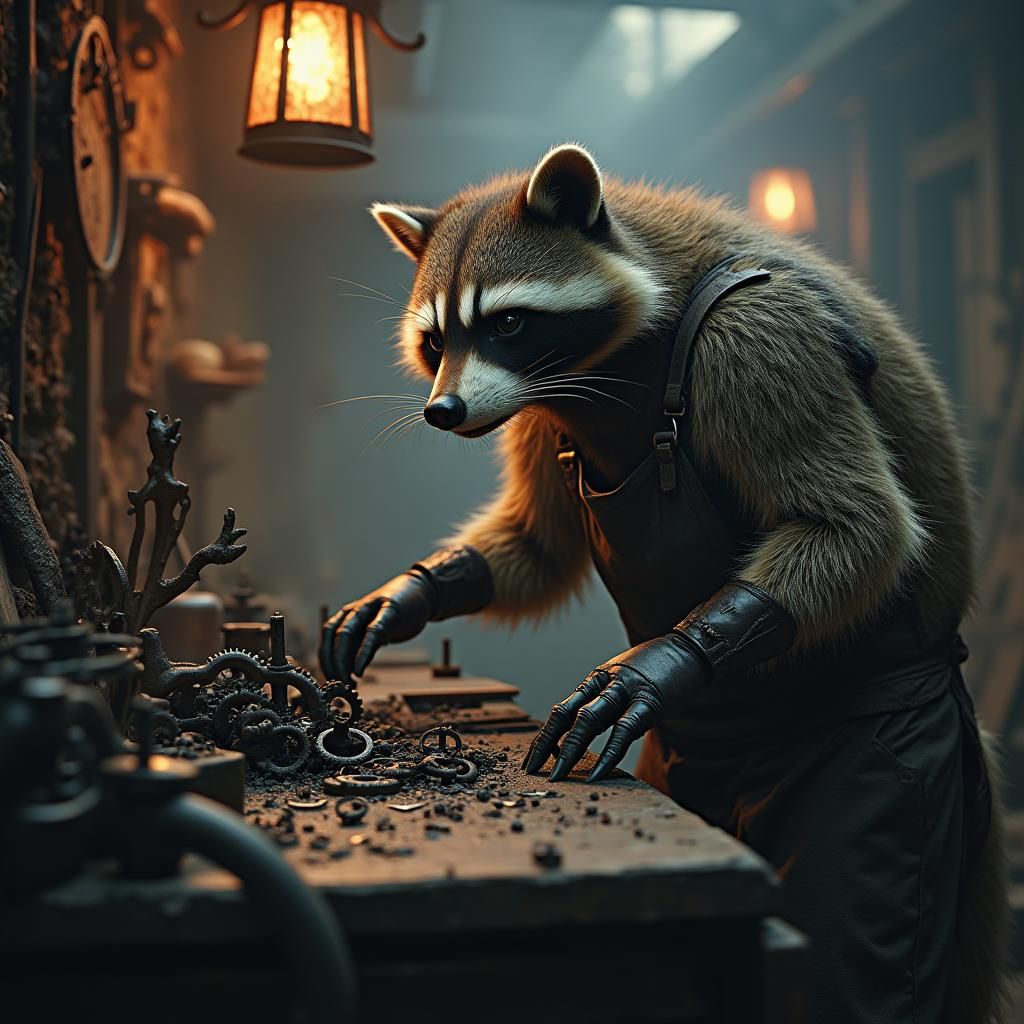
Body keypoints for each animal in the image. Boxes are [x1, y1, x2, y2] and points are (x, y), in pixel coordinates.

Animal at [325, 144, 1006, 1023]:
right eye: (436, 339)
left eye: (507, 322)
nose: (443, 410)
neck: (611, 358)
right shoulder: (544, 405)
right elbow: (539, 543)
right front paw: (413, 591)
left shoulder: (760, 336)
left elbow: (854, 525)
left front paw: (662, 660)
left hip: (883, 779)